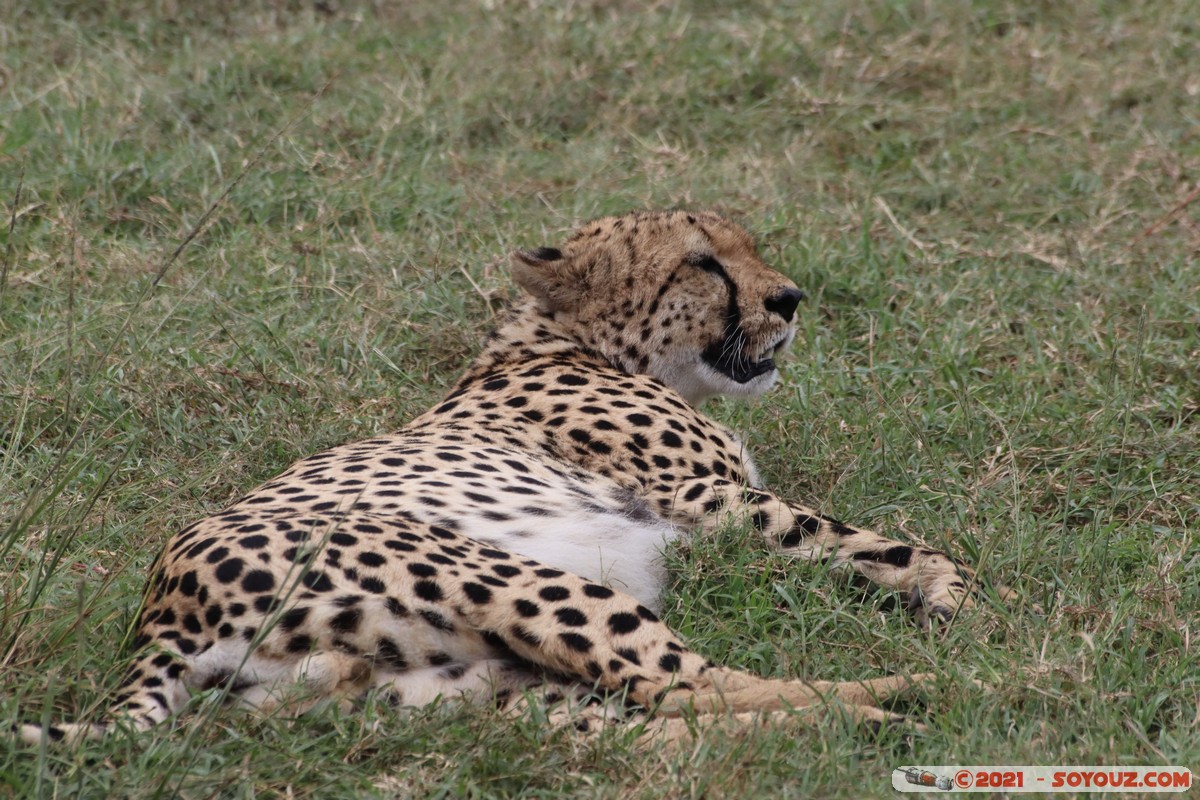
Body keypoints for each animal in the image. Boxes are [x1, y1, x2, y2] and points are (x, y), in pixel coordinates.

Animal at [19, 209, 997, 747]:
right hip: (521, 581)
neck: (566, 342)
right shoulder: (705, 501)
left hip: (451, 685)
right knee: (687, 684)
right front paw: (966, 603)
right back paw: (919, 697)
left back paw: (872, 717)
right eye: (701, 263)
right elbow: (878, 541)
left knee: (648, 717)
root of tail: (158, 610)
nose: (788, 300)